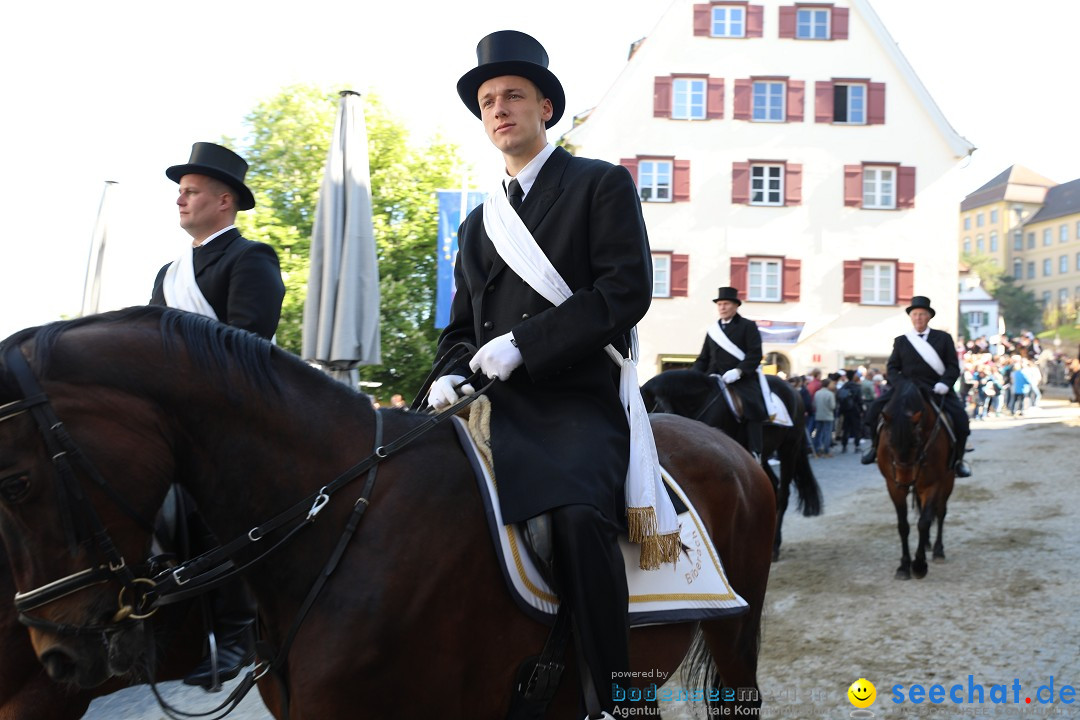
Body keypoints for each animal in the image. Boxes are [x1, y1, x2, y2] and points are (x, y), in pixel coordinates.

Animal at [635, 369, 820, 561]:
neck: (703, 401)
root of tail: (793, 390)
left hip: (789, 449)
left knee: (783, 494)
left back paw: (775, 546)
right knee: (774, 486)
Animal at [876, 382, 954, 578]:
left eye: (916, 443)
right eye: (890, 443)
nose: (905, 481)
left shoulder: (933, 484)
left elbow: (924, 522)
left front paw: (918, 565)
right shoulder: (893, 486)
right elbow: (903, 526)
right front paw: (904, 566)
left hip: (948, 480)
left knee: (940, 512)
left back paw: (938, 550)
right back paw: (926, 544)